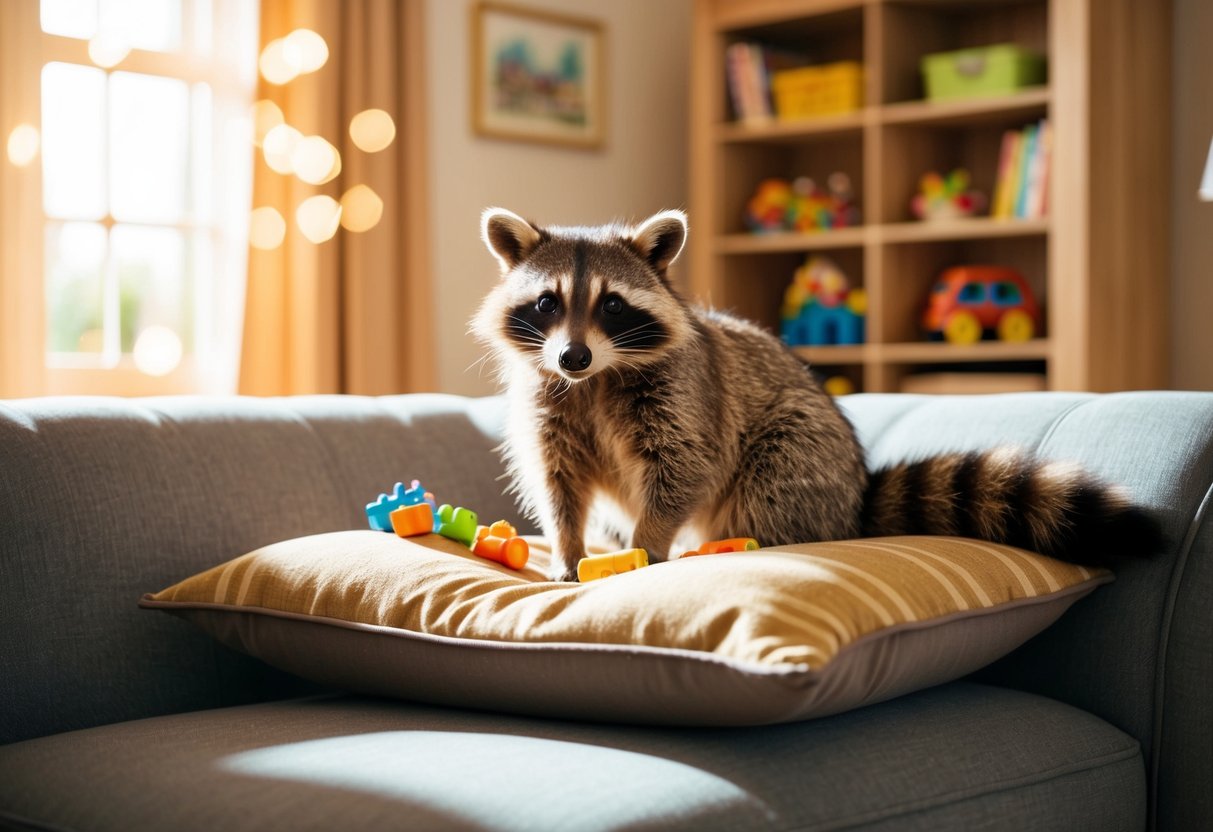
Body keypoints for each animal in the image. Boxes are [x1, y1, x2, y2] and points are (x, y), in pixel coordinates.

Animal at [472, 207, 1159, 582]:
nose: (574, 356)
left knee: (769, 480)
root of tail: (853, 499)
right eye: (547, 303)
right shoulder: (549, 403)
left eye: (612, 305)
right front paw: (568, 547)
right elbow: (557, 482)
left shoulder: (683, 397)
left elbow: (684, 468)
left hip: (803, 450)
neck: (596, 380)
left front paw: (648, 542)